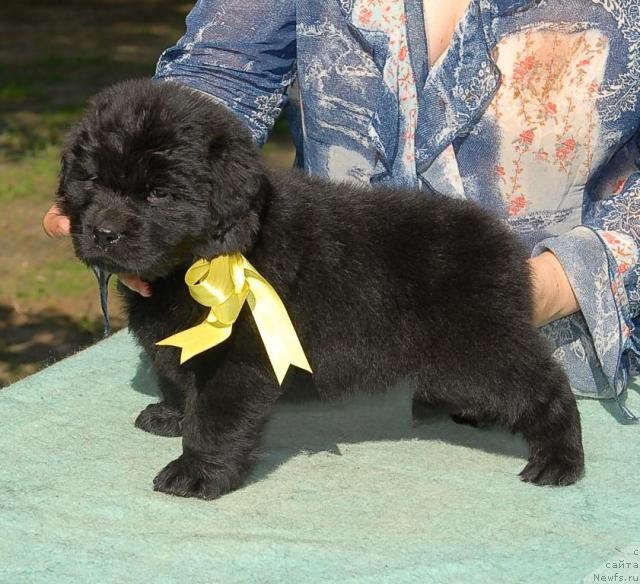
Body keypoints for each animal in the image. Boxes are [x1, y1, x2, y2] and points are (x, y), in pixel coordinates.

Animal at [58, 76, 584, 498]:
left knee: (547, 385)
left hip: (482, 346)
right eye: (91, 180)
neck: (196, 262)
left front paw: (196, 471)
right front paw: (171, 415)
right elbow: (177, 378)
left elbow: (215, 418)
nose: (103, 232)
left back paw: (559, 460)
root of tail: (506, 247)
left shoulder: (240, 359)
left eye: (158, 194)